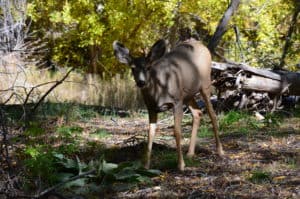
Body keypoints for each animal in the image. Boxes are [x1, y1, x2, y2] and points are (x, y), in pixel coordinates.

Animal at [113, 38, 224, 171]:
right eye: (133, 68)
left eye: (148, 67)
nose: (141, 82)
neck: (158, 92)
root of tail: (200, 44)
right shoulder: (151, 108)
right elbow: (150, 133)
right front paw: (145, 166)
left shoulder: (176, 101)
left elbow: (177, 131)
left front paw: (181, 165)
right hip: (187, 94)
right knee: (197, 112)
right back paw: (190, 153)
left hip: (205, 84)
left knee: (212, 114)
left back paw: (220, 151)